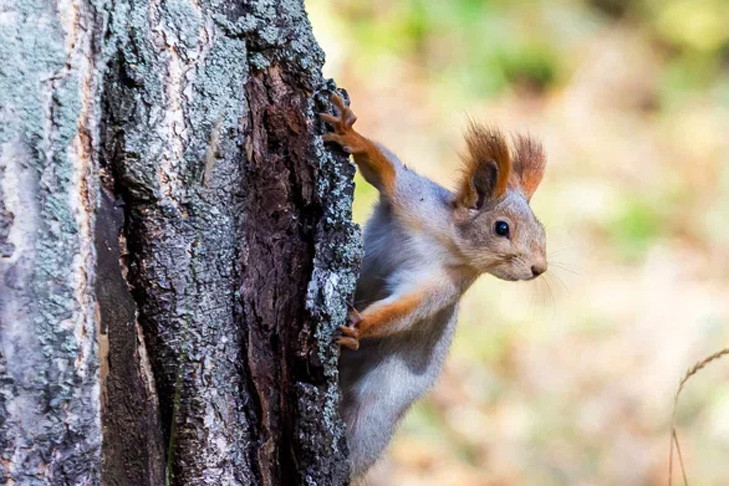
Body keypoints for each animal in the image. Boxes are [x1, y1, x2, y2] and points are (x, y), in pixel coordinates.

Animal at [320, 93, 548, 480]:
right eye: (502, 228)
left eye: (542, 231)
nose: (539, 268)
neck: (448, 243)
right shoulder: (411, 198)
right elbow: (385, 169)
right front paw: (351, 135)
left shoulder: (441, 286)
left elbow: (406, 311)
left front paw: (358, 327)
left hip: (382, 399)